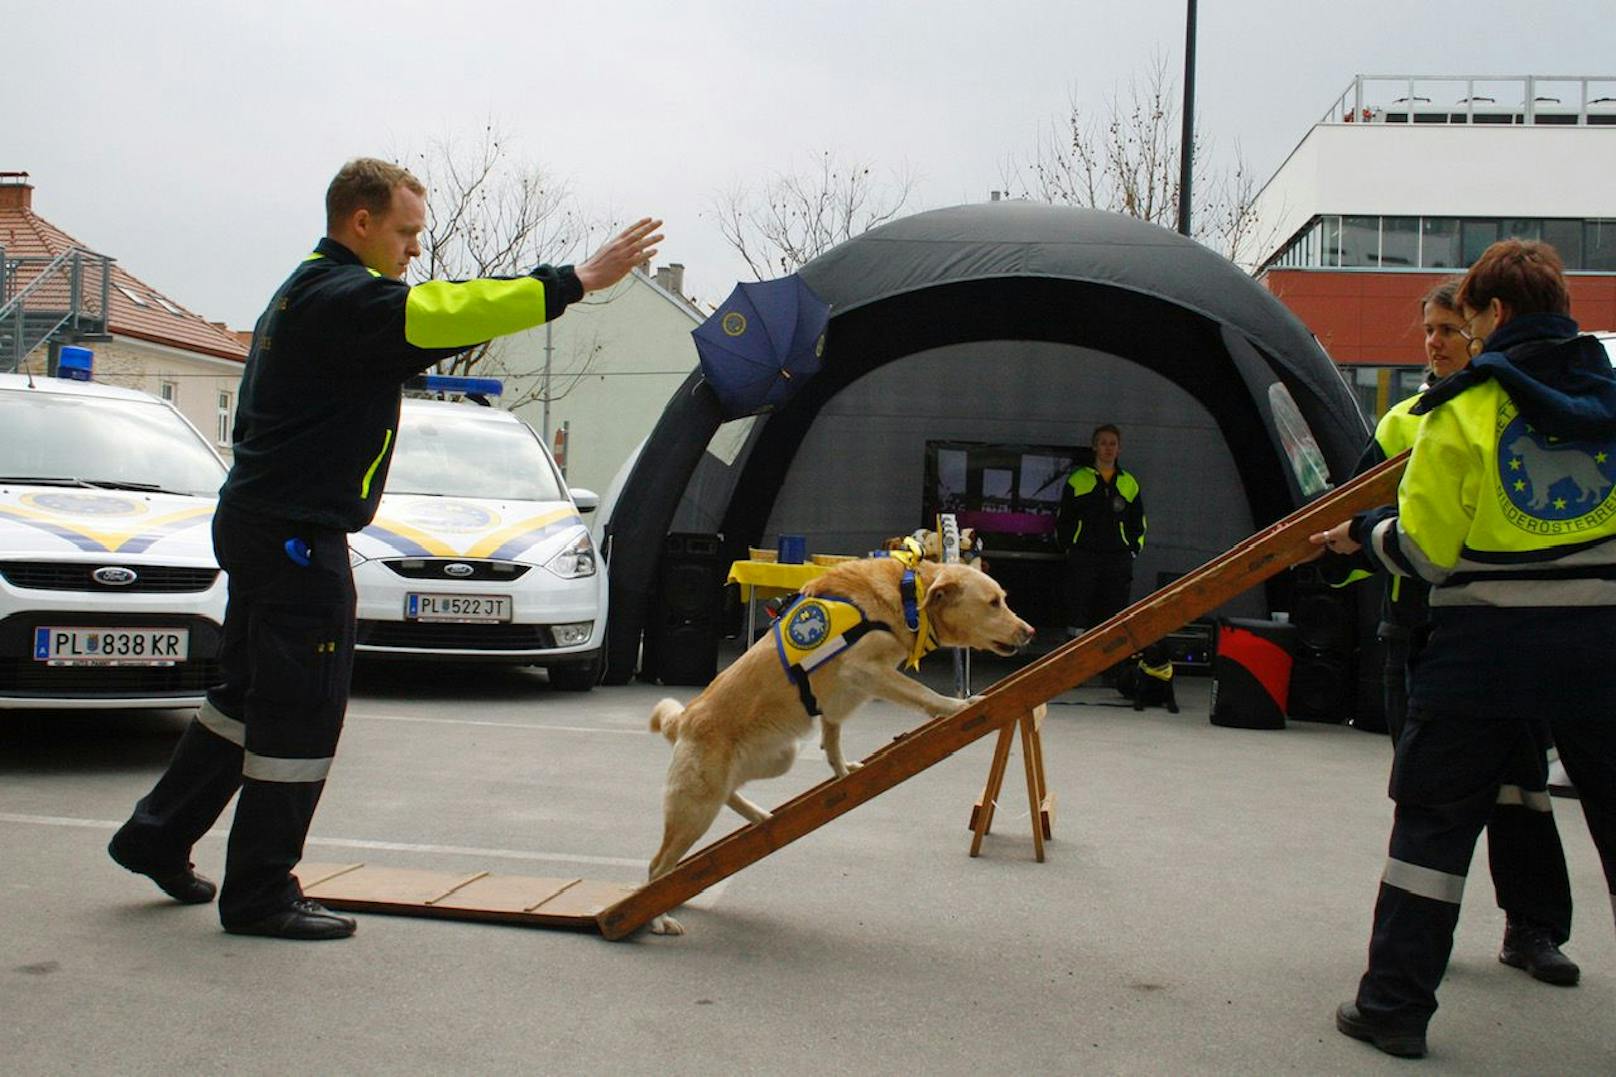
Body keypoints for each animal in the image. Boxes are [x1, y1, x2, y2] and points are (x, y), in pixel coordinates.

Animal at [643, 553, 1034, 931]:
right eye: (994, 602)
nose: (1029, 632)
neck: (907, 597)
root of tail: (682, 720)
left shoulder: (838, 698)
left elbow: (832, 741)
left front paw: (844, 771)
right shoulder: (862, 669)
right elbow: (923, 694)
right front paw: (956, 705)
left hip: (776, 759)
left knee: (729, 794)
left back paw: (760, 816)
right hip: (696, 807)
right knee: (657, 867)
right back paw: (659, 918)